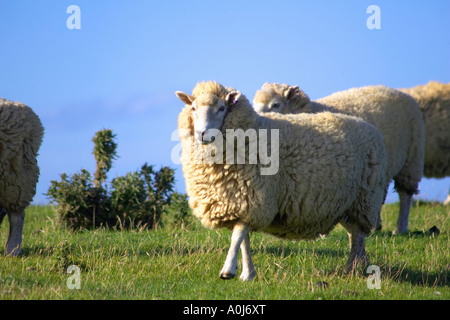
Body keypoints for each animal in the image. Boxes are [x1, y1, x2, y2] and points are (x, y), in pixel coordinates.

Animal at [174, 81, 388, 282]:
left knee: (358, 235)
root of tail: (370, 127)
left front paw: (228, 271)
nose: (203, 133)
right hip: (347, 204)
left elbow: (238, 235)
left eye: (221, 108)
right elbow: (244, 240)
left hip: (365, 197)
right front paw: (247, 274)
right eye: (193, 108)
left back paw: (354, 268)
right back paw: (359, 265)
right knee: (354, 234)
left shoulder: (255, 197)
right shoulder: (240, 202)